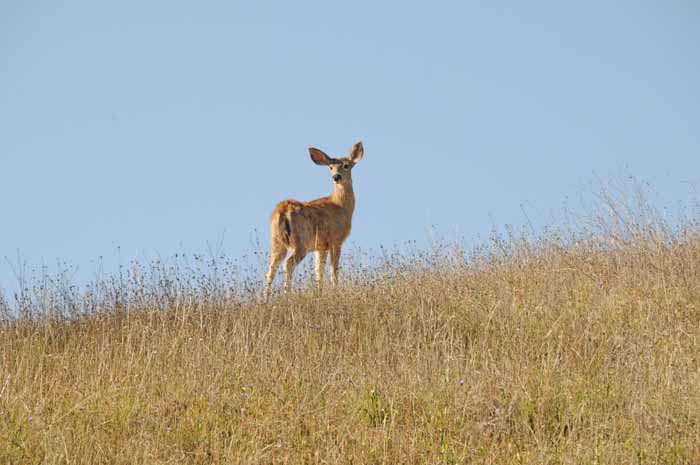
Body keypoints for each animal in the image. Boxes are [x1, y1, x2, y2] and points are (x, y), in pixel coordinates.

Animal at [260, 140, 364, 300]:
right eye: (330, 167)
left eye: (346, 165)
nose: (336, 177)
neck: (341, 206)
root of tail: (283, 210)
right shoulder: (335, 239)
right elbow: (334, 270)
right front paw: (335, 292)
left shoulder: (321, 246)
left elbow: (318, 272)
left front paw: (320, 295)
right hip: (301, 240)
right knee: (288, 264)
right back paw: (287, 295)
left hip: (276, 241)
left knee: (271, 269)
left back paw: (265, 300)